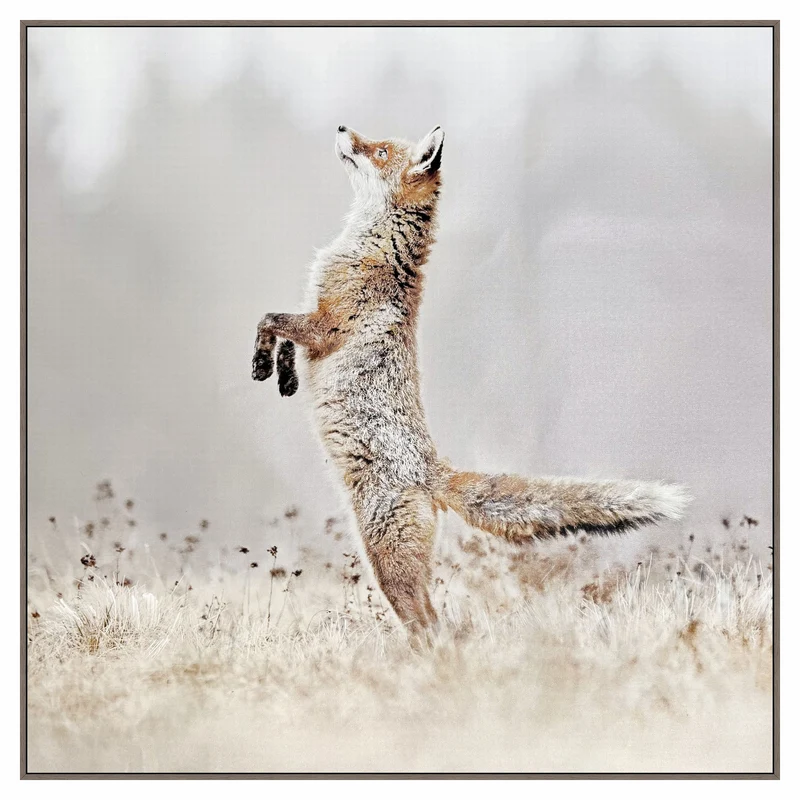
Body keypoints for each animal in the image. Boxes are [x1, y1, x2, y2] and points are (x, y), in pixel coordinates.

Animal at [252, 124, 689, 642]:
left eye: (379, 150)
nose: (341, 128)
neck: (371, 247)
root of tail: (432, 470)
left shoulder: (326, 326)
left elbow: (269, 319)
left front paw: (261, 363)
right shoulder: (314, 325)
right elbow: (283, 336)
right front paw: (283, 374)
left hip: (385, 559)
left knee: (428, 624)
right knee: (434, 621)